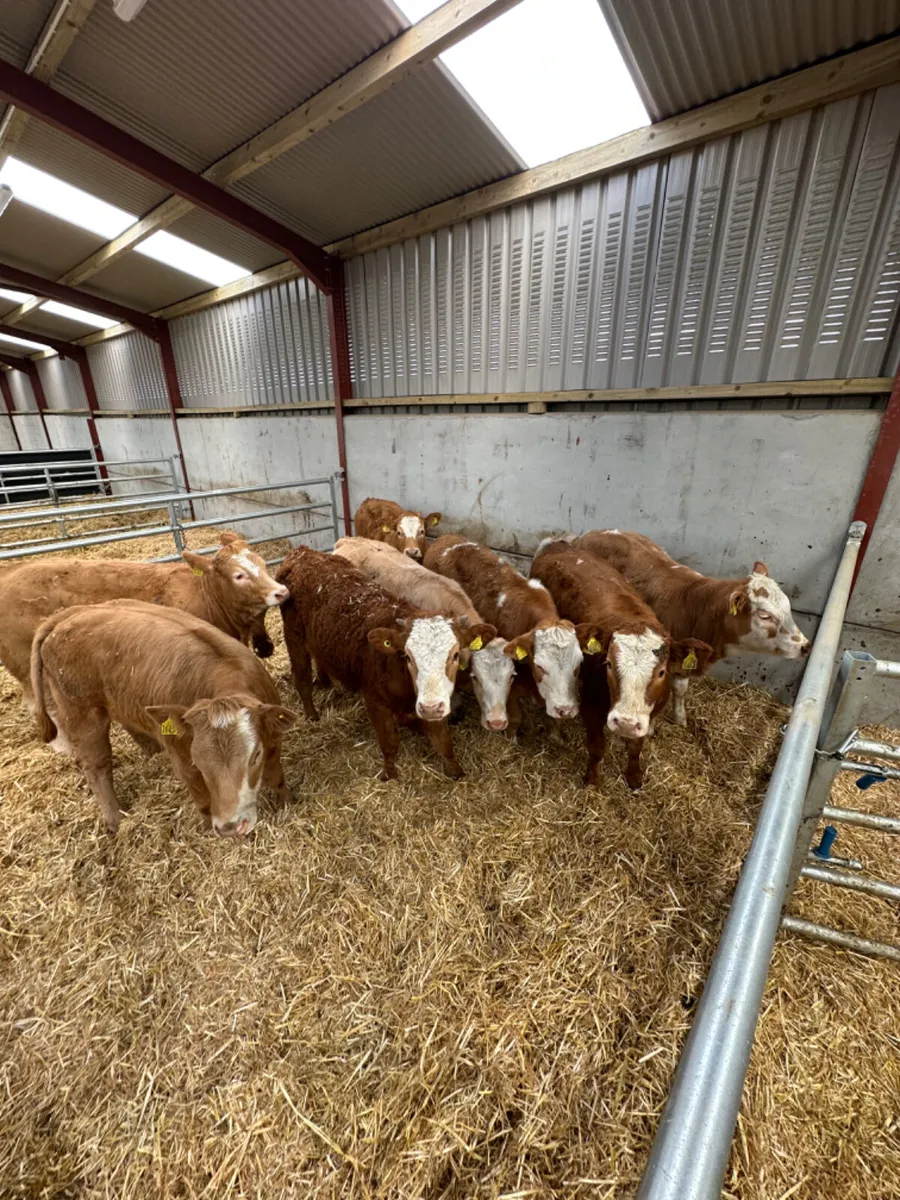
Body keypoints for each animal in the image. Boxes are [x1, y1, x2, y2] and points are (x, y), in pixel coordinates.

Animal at [30, 599, 298, 836]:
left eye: (255, 756)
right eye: (198, 760)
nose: (230, 827)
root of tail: (66, 616)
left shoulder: (272, 740)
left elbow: (276, 777)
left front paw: (287, 802)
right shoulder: (182, 760)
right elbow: (202, 799)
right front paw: (206, 829)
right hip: (82, 714)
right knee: (96, 766)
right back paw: (115, 819)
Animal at [276, 546, 495, 780]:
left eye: (455, 655)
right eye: (407, 656)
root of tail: (303, 553)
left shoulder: (433, 703)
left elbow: (443, 742)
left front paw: (456, 771)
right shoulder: (376, 703)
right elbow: (389, 744)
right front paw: (389, 774)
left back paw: (325, 682)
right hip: (294, 638)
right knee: (302, 679)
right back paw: (312, 715)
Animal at [531, 542, 712, 789]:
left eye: (662, 672)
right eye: (607, 664)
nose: (625, 723)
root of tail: (558, 545)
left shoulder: (648, 714)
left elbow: (636, 747)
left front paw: (634, 777)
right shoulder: (591, 707)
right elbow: (597, 747)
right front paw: (592, 779)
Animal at [561, 530, 810, 725]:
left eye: (788, 606)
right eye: (765, 615)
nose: (805, 646)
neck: (698, 608)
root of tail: (587, 535)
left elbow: (680, 690)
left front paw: (680, 718)